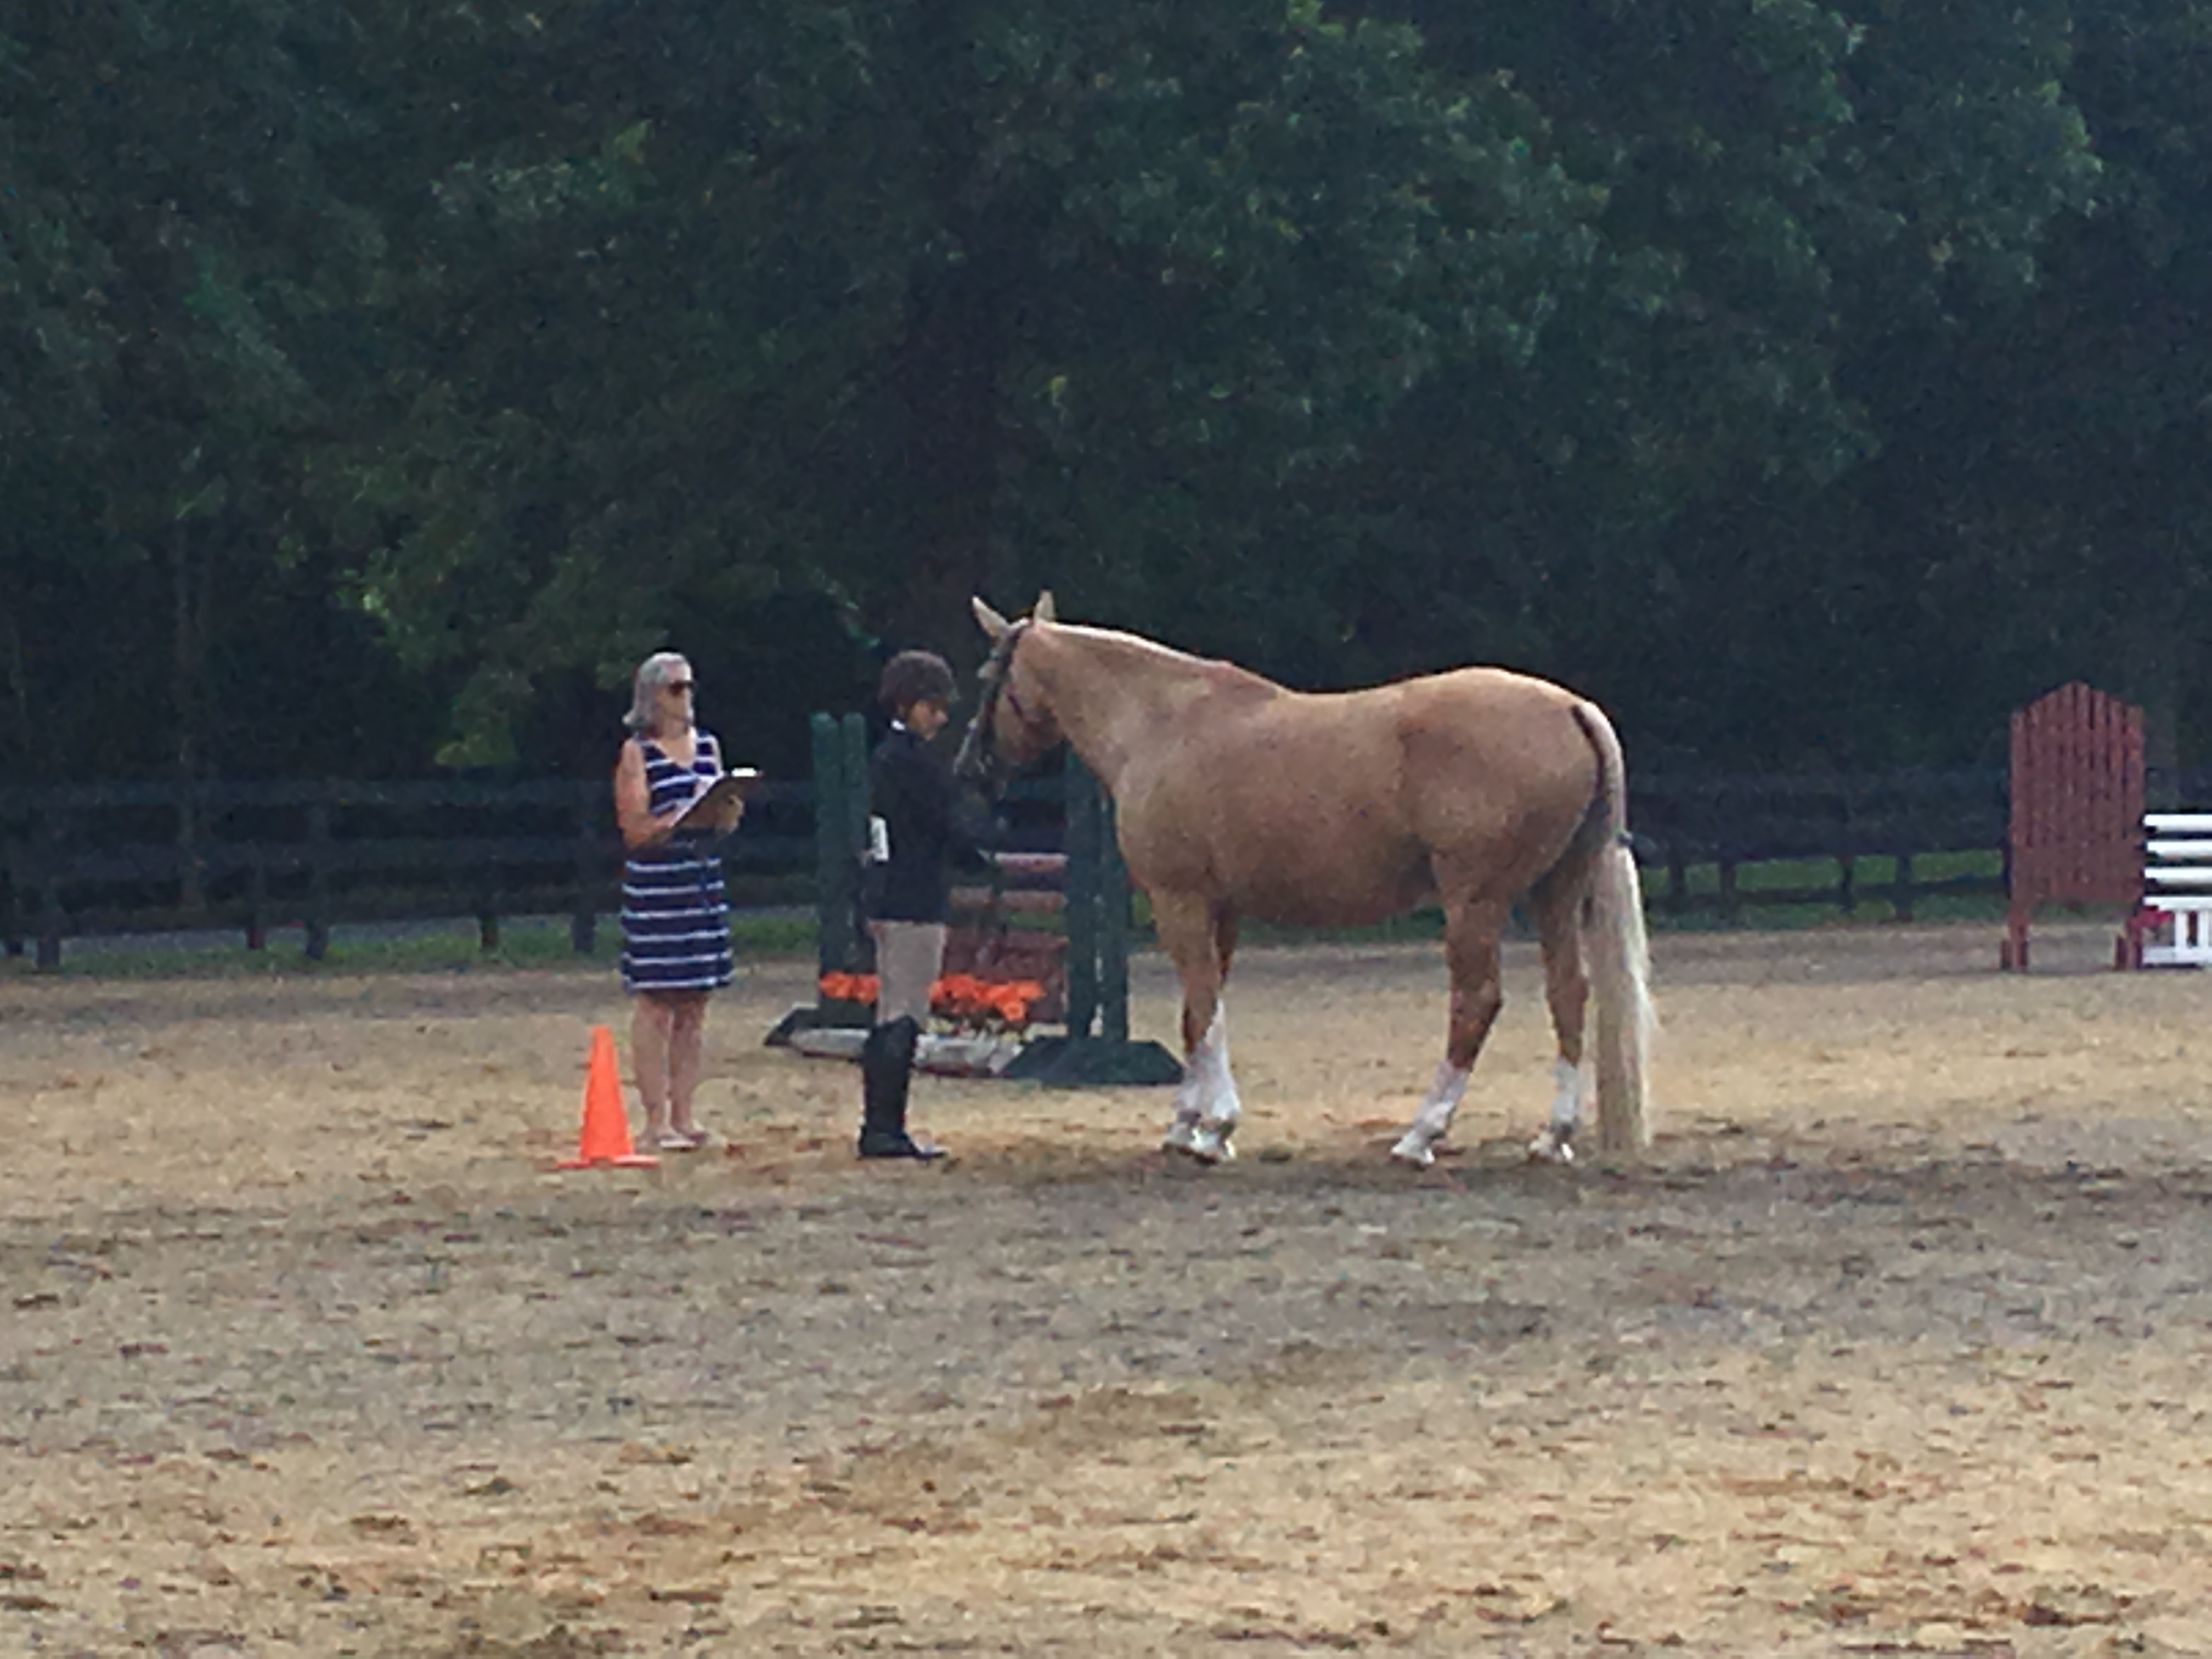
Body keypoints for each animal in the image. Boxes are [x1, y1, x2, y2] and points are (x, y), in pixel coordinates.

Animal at [960, 597, 1654, 1167]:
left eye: (986, 678)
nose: (971, 770)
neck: (1163, 723)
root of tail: (1569, 708)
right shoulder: (1221, 909)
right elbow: (1196, 1012)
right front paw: (1188, 1125)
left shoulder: (1177, 899)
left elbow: (1204, 1006)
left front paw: (1215, 1127)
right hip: (1554, 894)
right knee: (1568, 993)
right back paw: (1553, 1136)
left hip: (1474, 904)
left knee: (1476, 1003)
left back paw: (1420, 1135)